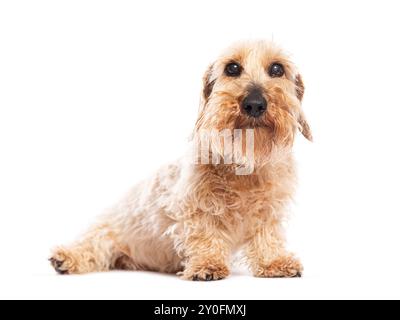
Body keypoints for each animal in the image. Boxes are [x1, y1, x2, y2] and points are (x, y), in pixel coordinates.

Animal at [50, 39, 312, 280]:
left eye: (277, 69)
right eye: (232, 68)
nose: (255, 104)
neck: (245, 165)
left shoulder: (269, 209)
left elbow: (267, 235)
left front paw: (274, 261)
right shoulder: (193, 205)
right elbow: (204, 232)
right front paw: (207, 264)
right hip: (106, 233)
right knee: (91, 246)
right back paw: (65, 257)